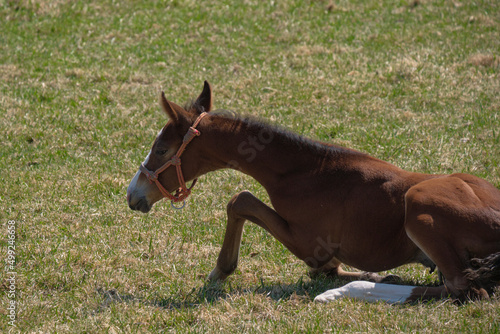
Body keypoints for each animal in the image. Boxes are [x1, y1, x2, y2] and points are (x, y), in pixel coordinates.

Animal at [128, 81, 500, 302]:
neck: (304, 171)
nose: (133, 195)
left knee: (463, 289)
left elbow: (240, 200)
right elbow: (324, 269)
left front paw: (219, 272)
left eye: (161, 149)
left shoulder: (309, 243)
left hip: (419, 204)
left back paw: (348, 290)